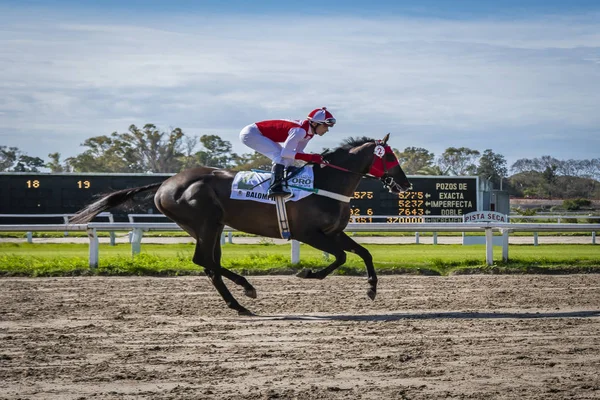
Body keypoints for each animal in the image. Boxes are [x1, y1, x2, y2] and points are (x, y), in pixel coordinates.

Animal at [68, 134, 410, 316]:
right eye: (390, 157)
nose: (405, 184)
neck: (326, 182)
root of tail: (166, 182)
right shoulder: (308, 233)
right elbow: (339, 257)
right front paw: (307, 273)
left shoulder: (333, 232)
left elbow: (364, 253)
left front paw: (371, 289)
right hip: (205, 222)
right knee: (204, 260)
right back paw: (243, 293)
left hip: (211, 226)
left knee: (210, 264)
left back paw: (241, 298)